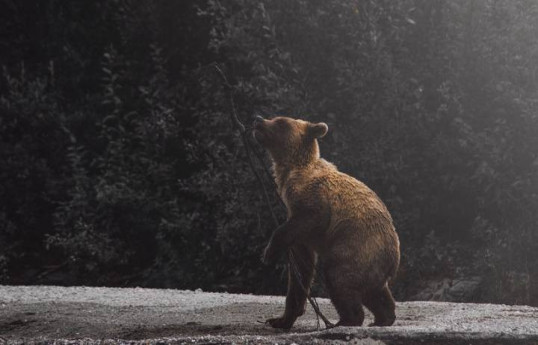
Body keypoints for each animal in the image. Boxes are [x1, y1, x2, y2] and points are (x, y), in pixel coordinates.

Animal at [251, 115, 398, 328]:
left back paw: (346, 319)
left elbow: (312, 217)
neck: (290, 172)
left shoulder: (312, 200)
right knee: (375, 291)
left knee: (338, 276)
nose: (258, 120)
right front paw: (280, 319)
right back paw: (383, 318)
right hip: (372, 264)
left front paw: (268, 252)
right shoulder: (297, 229)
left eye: (281, 122)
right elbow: (300, 270)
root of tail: (394, 260)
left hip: (357, 246)